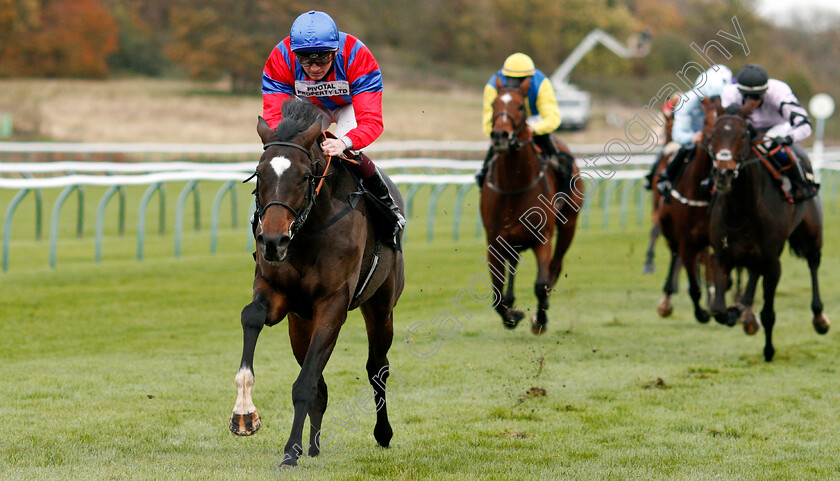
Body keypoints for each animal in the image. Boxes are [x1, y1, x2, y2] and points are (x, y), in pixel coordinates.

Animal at [226, 98, 404, 464]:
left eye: (305, 175)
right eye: (259, 174)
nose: (273, 241)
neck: (308, 231)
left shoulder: (332, 304)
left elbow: (304, 384)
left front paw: (288, 454)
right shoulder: (277, 293)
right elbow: (251, 317)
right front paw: (244, 414)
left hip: (381, 306)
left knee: (377, 368)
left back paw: (382, 433)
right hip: (299, 323)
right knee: (321, 382)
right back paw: (312, 445)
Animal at [480, 77, 584, 336]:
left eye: (520, 106)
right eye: (494, 104)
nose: (500, 135)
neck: (514, 184)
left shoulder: (542, 238)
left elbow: (541, 284)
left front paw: (539, 320)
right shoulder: (494, 240)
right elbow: (496, 292)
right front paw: (512, 315)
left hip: (569, 225)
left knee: (555, 268)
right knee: (514, 265)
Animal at [704, 98, 832, 360]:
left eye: (744, 134)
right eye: (713, 135)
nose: (723, 174)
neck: (741, 211)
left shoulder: (773, 263)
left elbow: (769, 314)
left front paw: (769, 350)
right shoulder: (721, 255)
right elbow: (719, 309)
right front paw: (736, 312)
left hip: (811, 234)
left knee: (813, 263)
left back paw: (819, 318)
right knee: (753, 275)